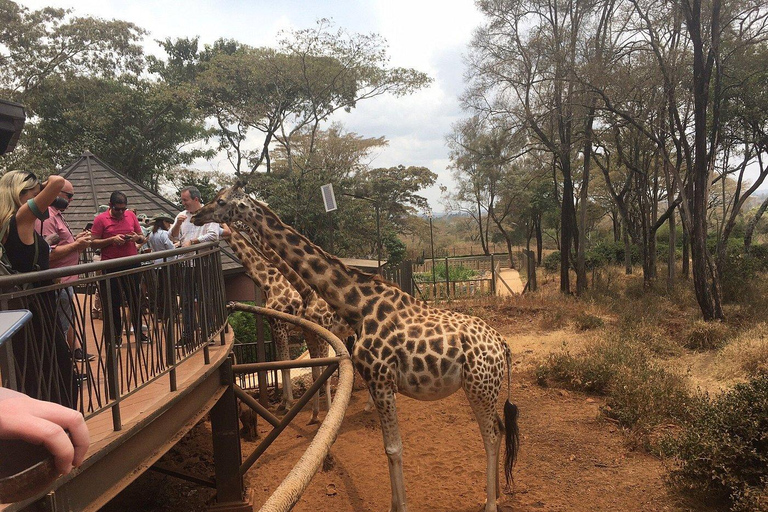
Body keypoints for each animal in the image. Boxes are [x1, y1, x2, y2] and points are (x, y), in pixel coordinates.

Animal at [192, 187, 520, 512]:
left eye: (221, 201)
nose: (196, 216)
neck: (359, 307)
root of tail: (502, 344)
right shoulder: (373, 377)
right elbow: (385, 444)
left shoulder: (380, 379)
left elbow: (393, 448)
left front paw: (399, 506)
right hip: (481, 388)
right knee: (500, 429)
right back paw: (493, 495)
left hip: (480, 387)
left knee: (492, 435)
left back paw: (491, 504)